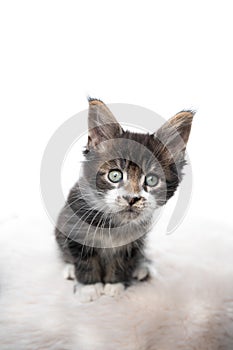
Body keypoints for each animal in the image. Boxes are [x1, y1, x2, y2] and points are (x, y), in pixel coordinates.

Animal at [55, 98, 195, 300]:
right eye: (114, 175)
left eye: (151, 180)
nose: (131, 198)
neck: (113, 223)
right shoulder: (76, 229)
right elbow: (84, 260)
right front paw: (89, 286)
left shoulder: (134, 240)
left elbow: (122, 260)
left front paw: (115, 284)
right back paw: (70, 269)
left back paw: (142, 267)